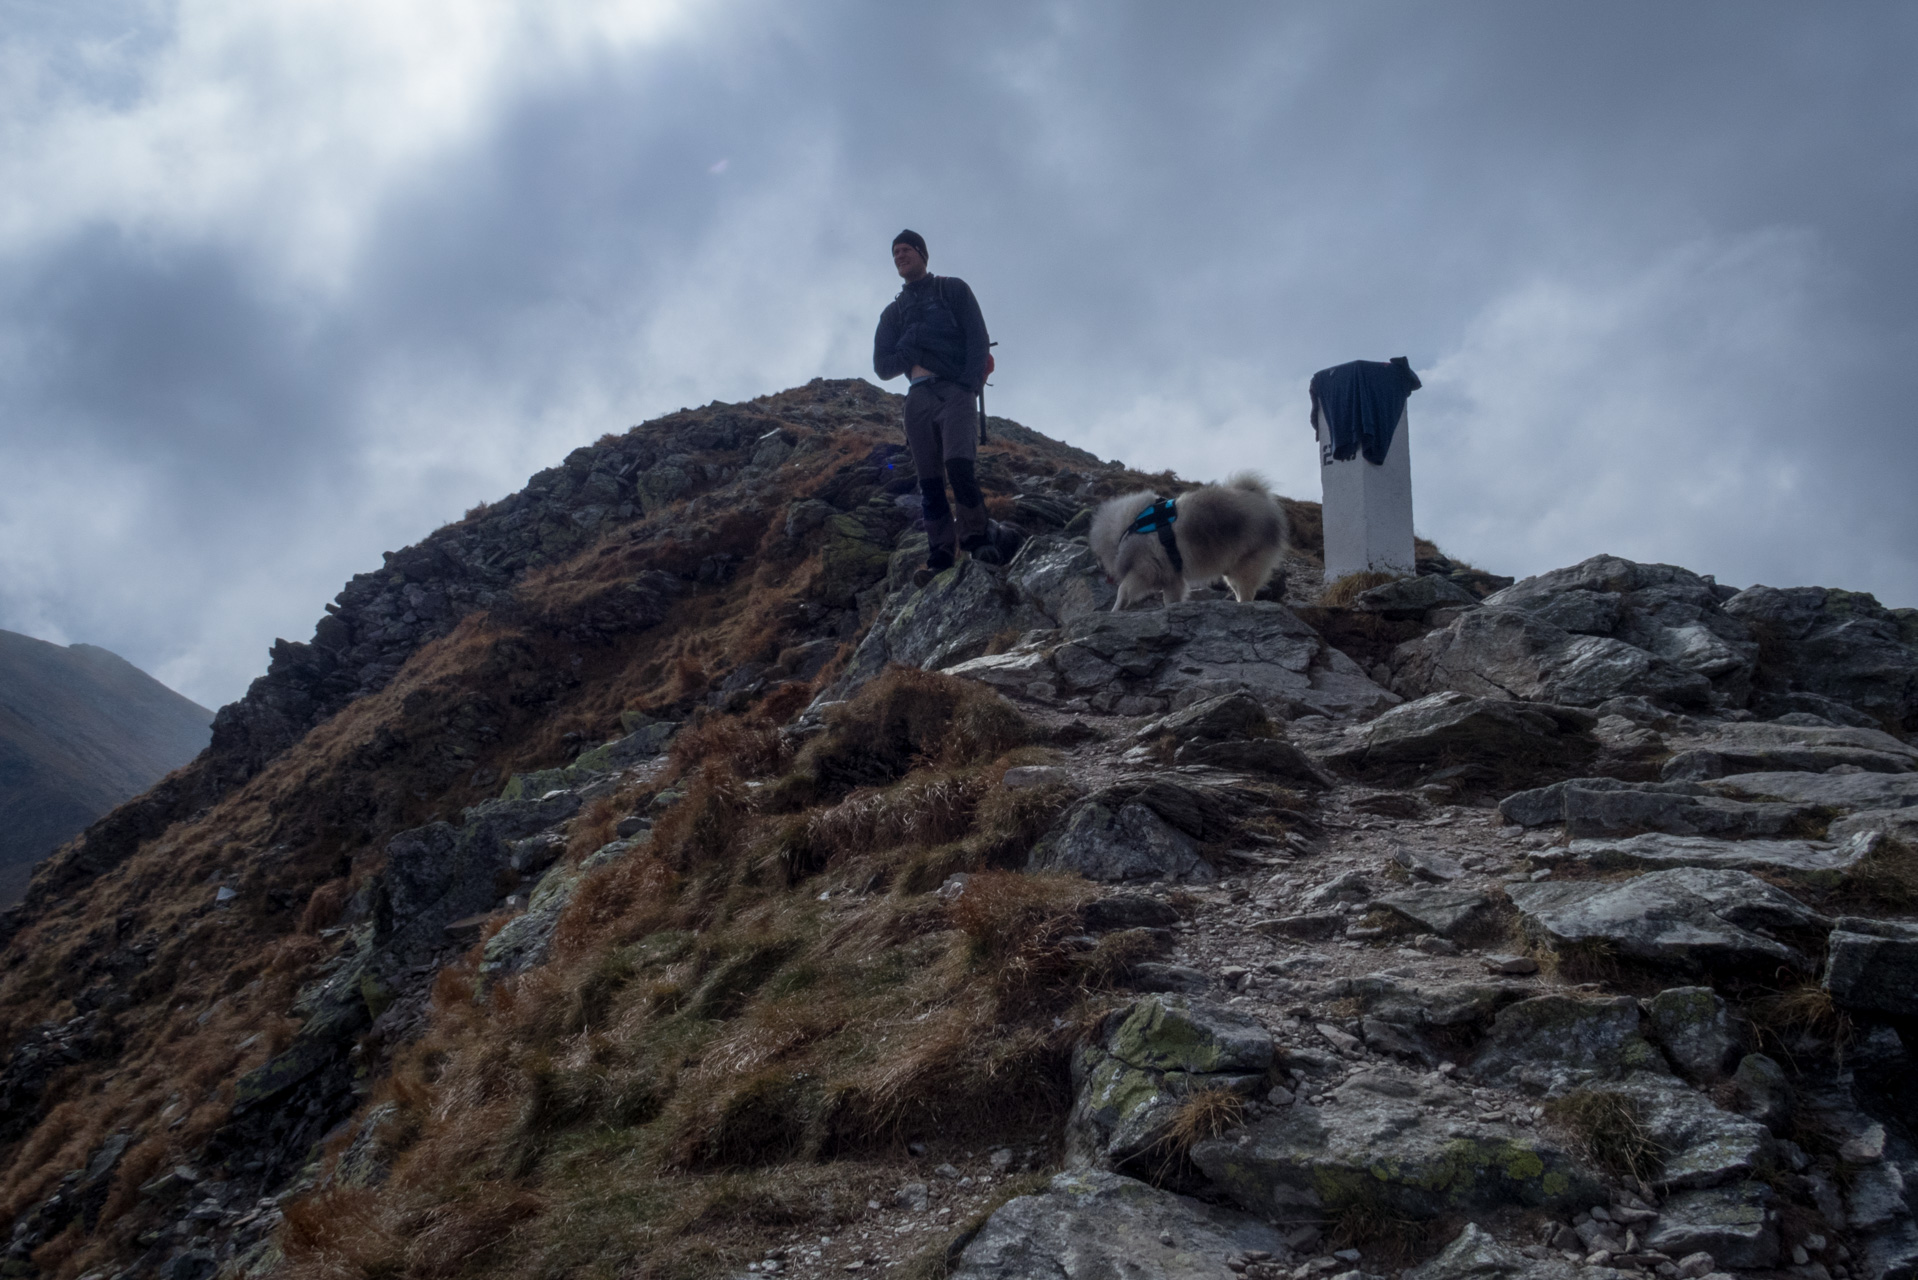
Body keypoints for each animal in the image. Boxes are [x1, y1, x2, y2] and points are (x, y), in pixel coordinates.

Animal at [1097, 474, 1288, 614]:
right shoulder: (1172, 577)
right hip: (1232, 569)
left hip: (1246, 565)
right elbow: (1170, 598)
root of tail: (1259, 496)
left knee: (1247, 591)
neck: (1129, 527)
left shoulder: (1144, 569)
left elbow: (1123, 590)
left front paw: (1115, 609)